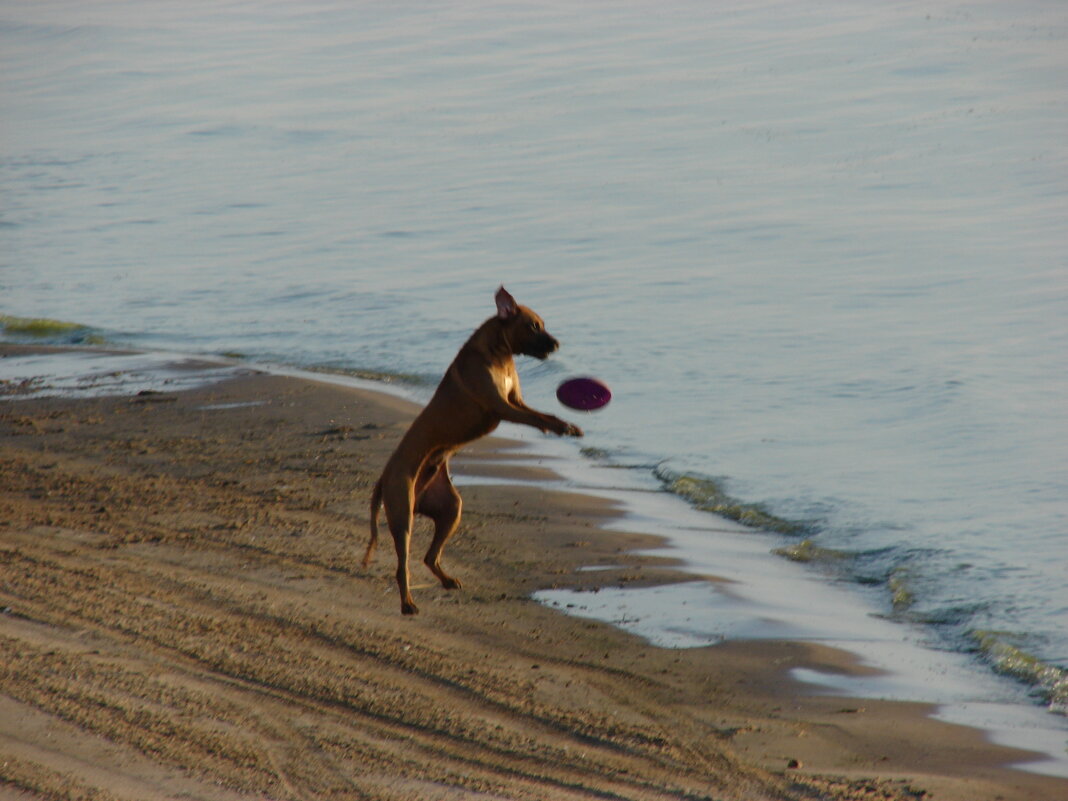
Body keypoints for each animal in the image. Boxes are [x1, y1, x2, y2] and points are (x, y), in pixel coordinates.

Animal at [367, 286, 585, 615]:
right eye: (534, 326)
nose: (557, 343)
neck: (499, 354)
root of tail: (384, 474)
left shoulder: (516, 402)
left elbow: (544, 415)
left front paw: (568, 426)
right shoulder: (503, 407)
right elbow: (538, 419)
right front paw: (561, 428)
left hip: (450, 508)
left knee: (430, 556)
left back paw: (446, 580)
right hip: (402, 512)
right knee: (402, 565)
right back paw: (408, 603)